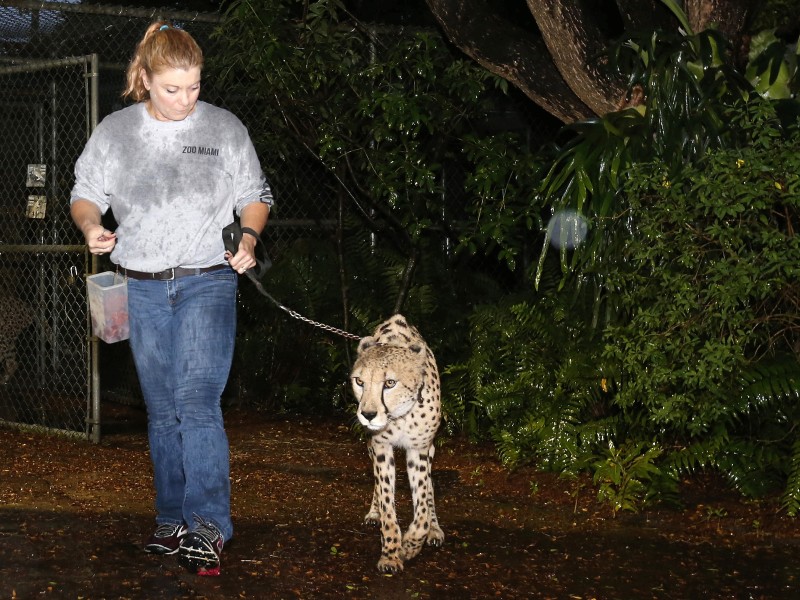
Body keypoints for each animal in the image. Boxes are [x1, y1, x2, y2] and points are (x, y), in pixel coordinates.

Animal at [350, 314, 444, 572]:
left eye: (390, 383)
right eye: (359, 381)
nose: (368, 415)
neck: (401, 415)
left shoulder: (419, 449)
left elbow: (422, 507)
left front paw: (411, 545)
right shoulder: (381, 446)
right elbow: (386, 501)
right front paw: (391, 553)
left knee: (430, 490)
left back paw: (435, 529)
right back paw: (374, 513)